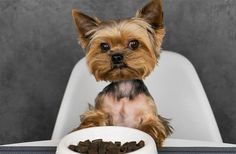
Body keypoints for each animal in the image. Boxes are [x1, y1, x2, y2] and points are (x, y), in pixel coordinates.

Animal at [71, 0, 171, 147]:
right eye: (104, 46)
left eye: (134, 44)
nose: (116, 56)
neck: (124, 87)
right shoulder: (100, 109)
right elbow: (93, 118)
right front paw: (85, 128)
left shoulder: (150, 114)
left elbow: (152, 125)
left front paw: (149, 135)